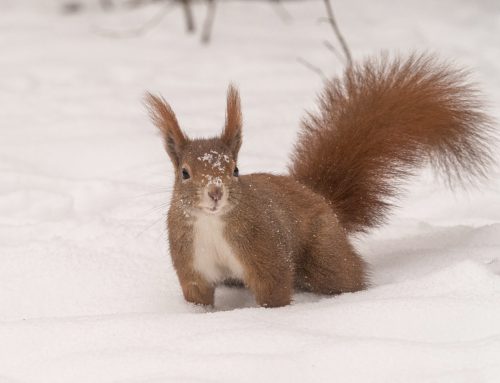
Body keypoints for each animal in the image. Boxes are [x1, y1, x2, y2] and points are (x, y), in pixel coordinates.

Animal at [144, 53, 492, 308]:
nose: (215, 192)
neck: (212, 224)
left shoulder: (266, 253)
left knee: (345, 276)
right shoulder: (193, 265)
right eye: (184, 173)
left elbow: (274, 290)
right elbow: (198, 298)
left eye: (235, 170)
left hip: (324, 253)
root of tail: (319, 198)